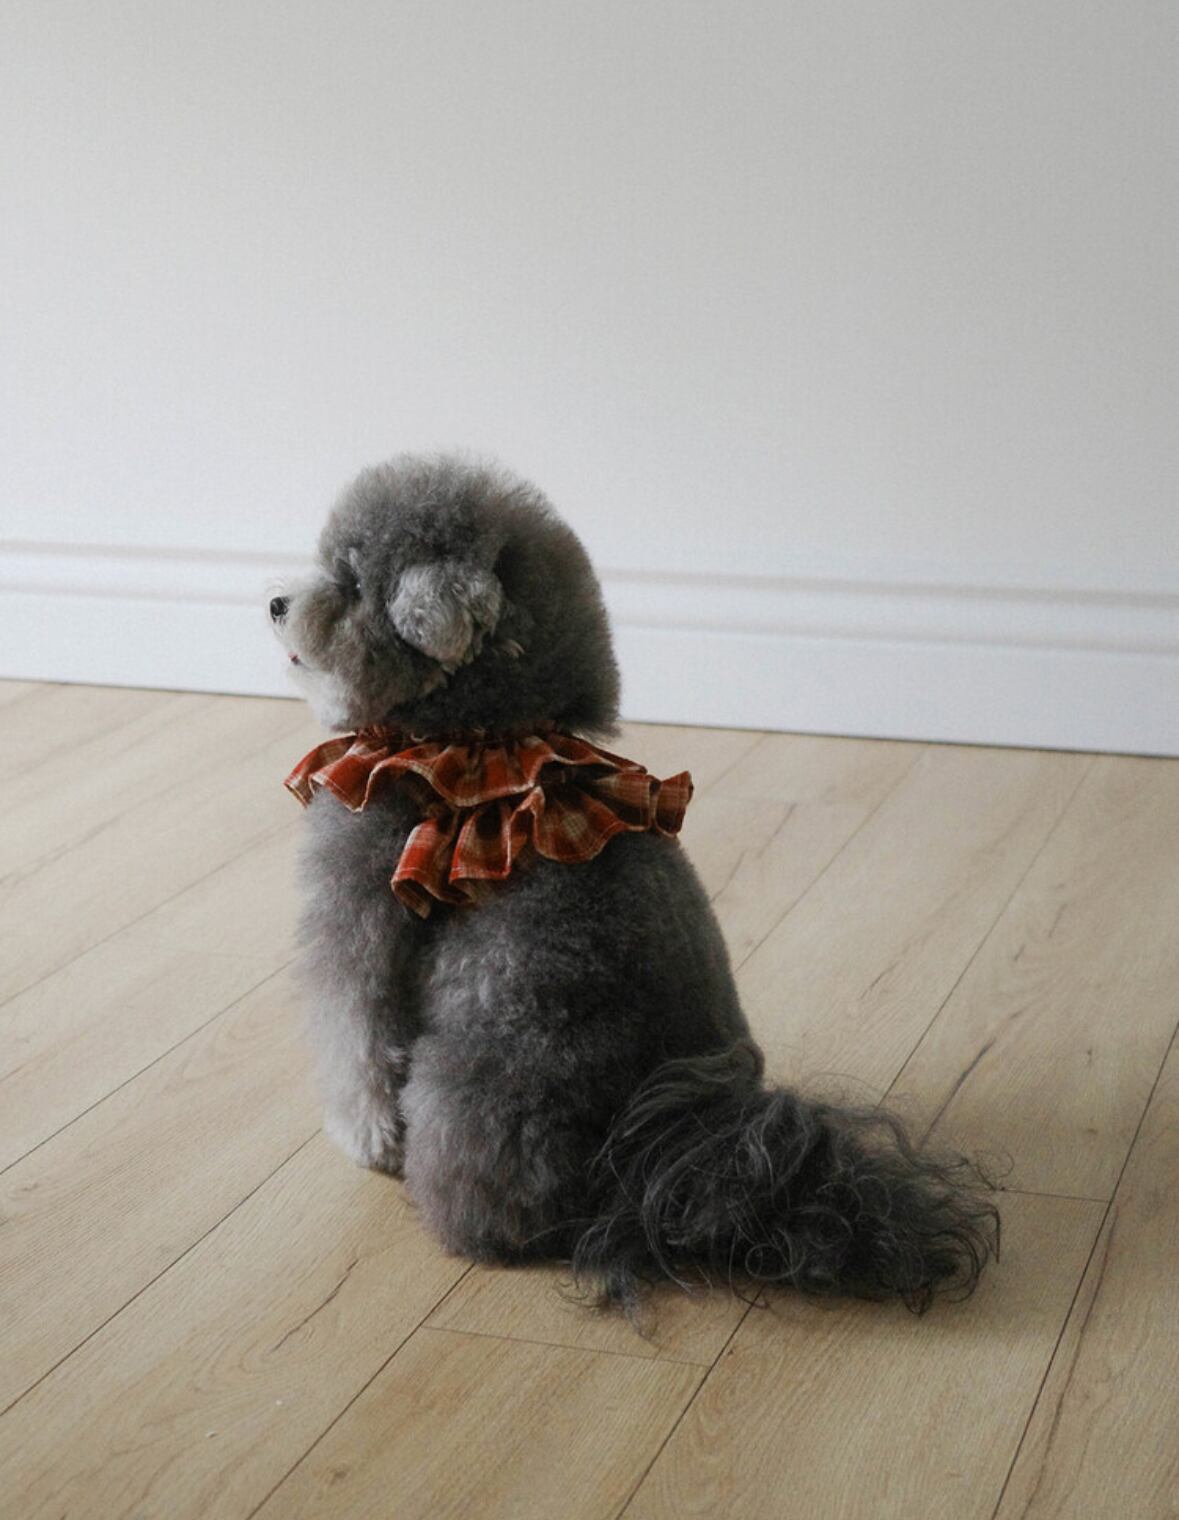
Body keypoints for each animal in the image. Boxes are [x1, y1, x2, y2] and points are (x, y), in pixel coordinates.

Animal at [272, 453, 996, 1313]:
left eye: (350, 583)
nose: (274, 603)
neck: (478, 739)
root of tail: (646, 1161)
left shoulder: (360, 913)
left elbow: (356, 1040)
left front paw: (366, 1141)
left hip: (471, 1088)